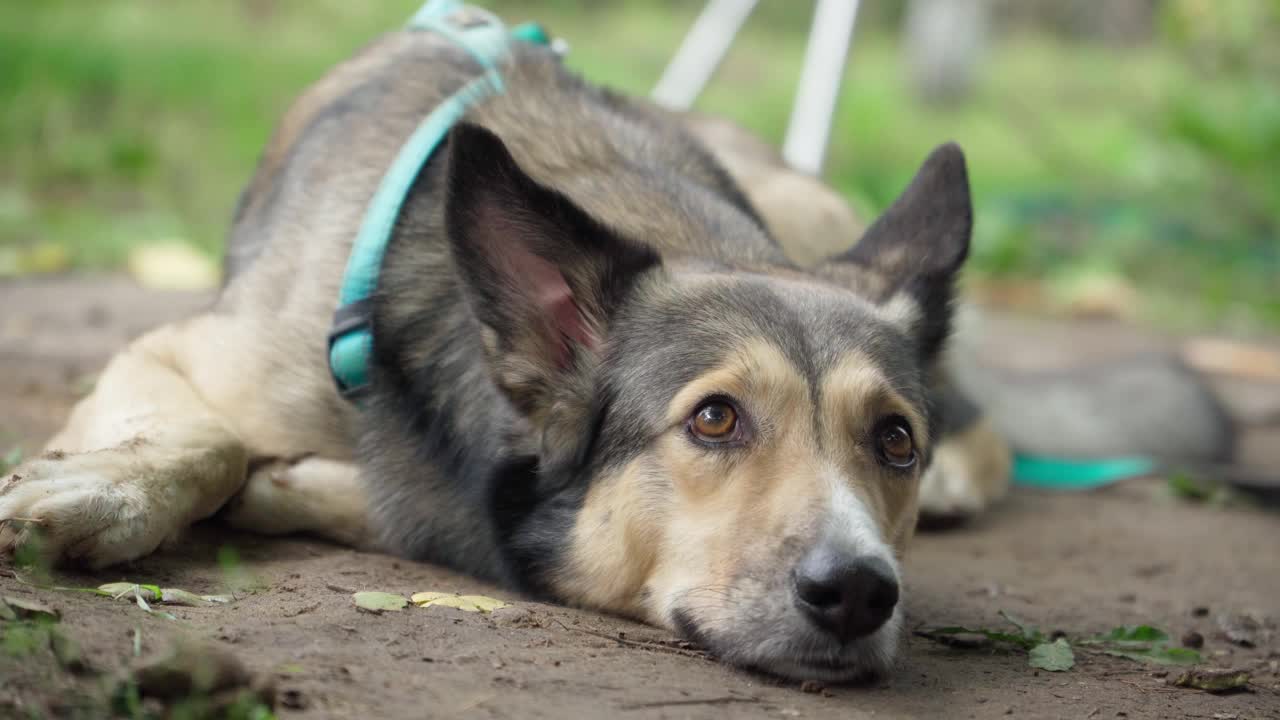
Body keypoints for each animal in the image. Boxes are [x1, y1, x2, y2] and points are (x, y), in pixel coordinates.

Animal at [0, 5, 1233, 676]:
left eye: (892, 441)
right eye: (714, 419)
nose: (857, 594)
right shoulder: (181, 356)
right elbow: (208, 441)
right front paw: (94, 496)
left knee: (992, 445)